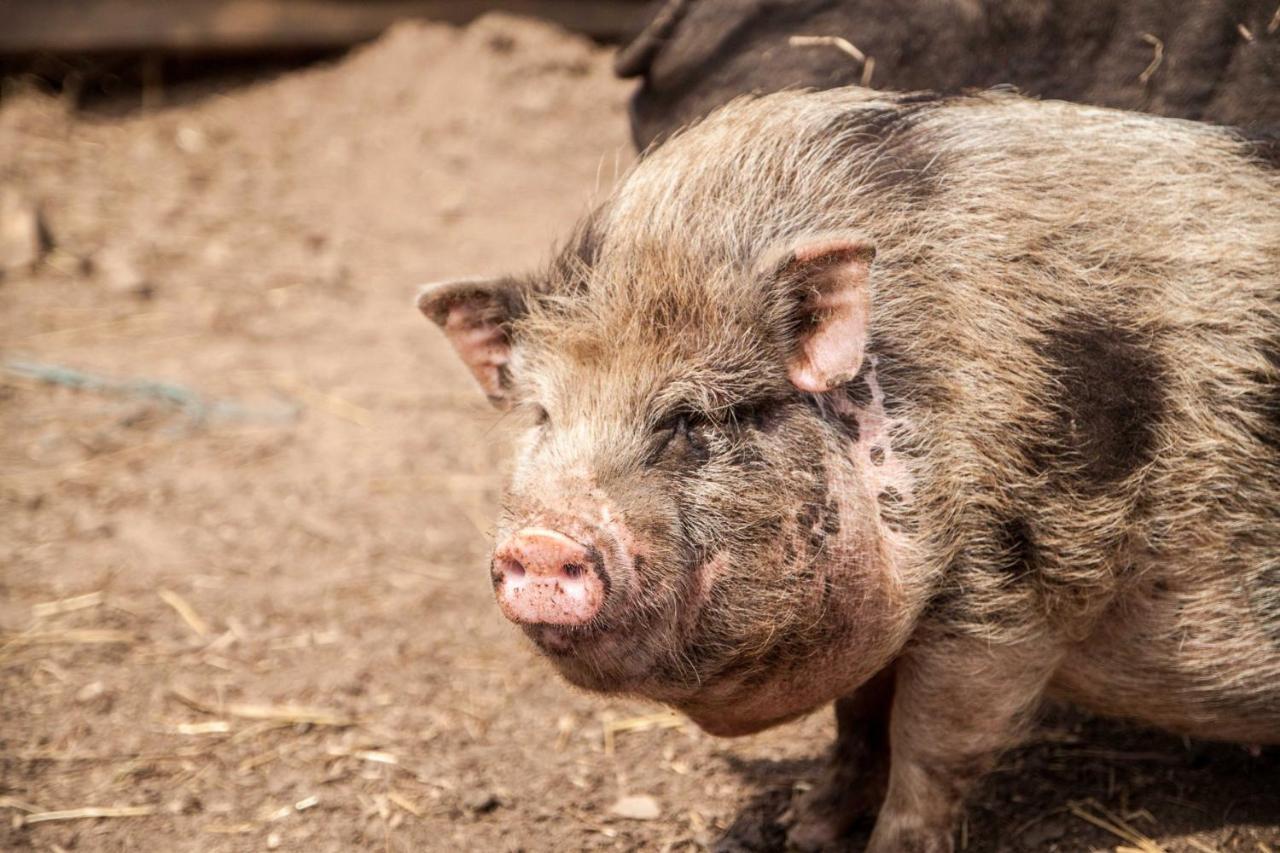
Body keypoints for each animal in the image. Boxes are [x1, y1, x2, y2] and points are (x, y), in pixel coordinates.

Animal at [419, 87, 1280, 850]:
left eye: (690, 419)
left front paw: (882, 843)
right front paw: (805, 830)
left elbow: (931, 751)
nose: (542, 542)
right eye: (542, 415)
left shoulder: (1012, 598)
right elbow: (858, 722)